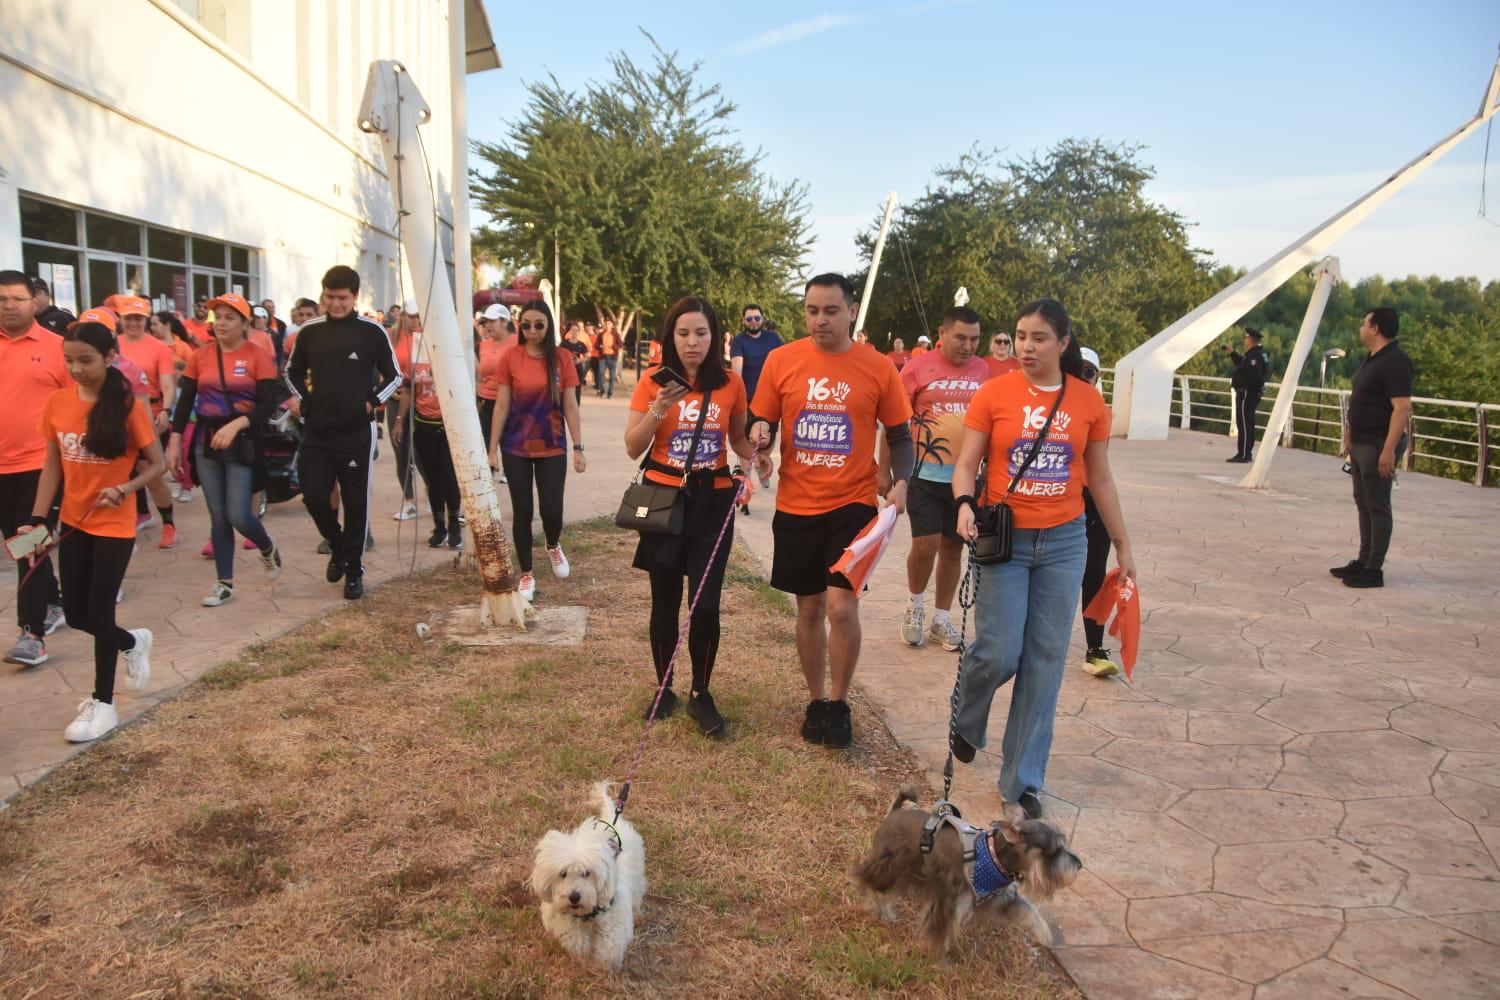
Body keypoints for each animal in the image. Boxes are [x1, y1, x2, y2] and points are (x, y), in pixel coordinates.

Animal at [528, 779, 645, 971]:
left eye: (587, 873)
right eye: (563, 873)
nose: (574, 897)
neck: (586, 913)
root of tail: (612, 818)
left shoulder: (614, 913)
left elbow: (610, 946)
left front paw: (604, 964)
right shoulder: (560, 916)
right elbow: (574, 937)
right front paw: (584, 953)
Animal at [858, 785, 1080, 959]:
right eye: (1054, 849)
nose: (1079, 865)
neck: (994, 856)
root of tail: (895, 811)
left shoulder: (1002, 898)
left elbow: (1028, 910)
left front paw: (1045, 935)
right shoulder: (949, 900)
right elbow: (938, 930)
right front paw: (936, 956)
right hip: (890, 866)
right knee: (867, 879)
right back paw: (878, 907)